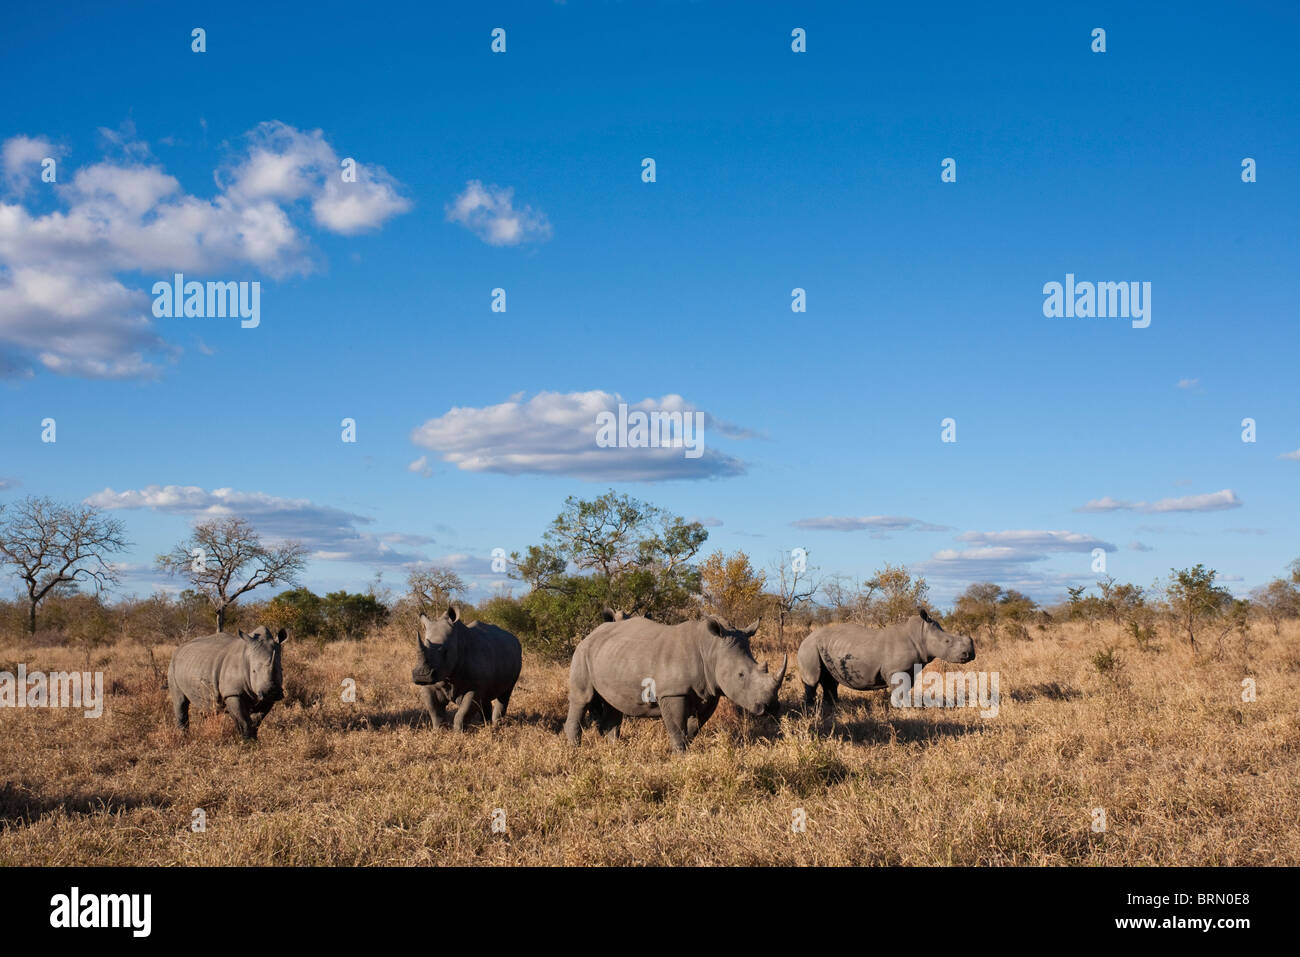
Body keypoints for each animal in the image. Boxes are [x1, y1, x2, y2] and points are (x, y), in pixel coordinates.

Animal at [410, 605, 522, 733]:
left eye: (445, 651)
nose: (421, 676)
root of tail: (515, 639)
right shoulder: (433, 682)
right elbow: (435, 711)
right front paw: (439, 732)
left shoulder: (474, 687)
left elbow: (463, 712)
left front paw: (458, 734)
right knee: (486, 697)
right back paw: (486, 725)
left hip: (517, 655)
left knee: (505, 694)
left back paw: (496, 726)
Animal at [795, 605, 972, 712]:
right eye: (947, 642)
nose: (970, 654)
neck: (920, 635)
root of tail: (804, 639)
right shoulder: (896, 670)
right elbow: (900, 691)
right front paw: (905, 711)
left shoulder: (909, 670)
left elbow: (905, 690)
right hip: (809, 648)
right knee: (812, 680)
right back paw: (811, 710)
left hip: (824, 649)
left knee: (830, 681)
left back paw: (834, 708)